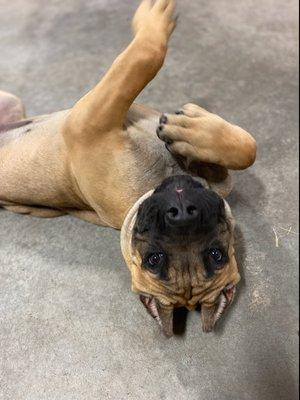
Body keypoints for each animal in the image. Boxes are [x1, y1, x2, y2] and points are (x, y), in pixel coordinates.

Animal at [0, 0, 255, 338]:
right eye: (153, 260)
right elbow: (246, 148)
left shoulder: (88, 121)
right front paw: (192, 127)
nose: (183, 213)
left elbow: (145, 56)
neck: (165, 173)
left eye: (216, 254)